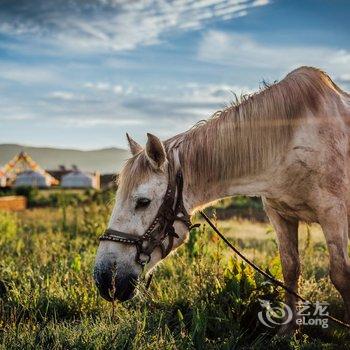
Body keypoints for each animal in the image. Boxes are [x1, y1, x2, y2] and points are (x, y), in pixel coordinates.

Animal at [93, 67, 350, 332]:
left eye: (143, 202)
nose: (105, 279)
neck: (293, 139)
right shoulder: (280, 216)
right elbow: (290, 270)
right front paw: (287, 332)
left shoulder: (333, 213)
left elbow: (341, 276)